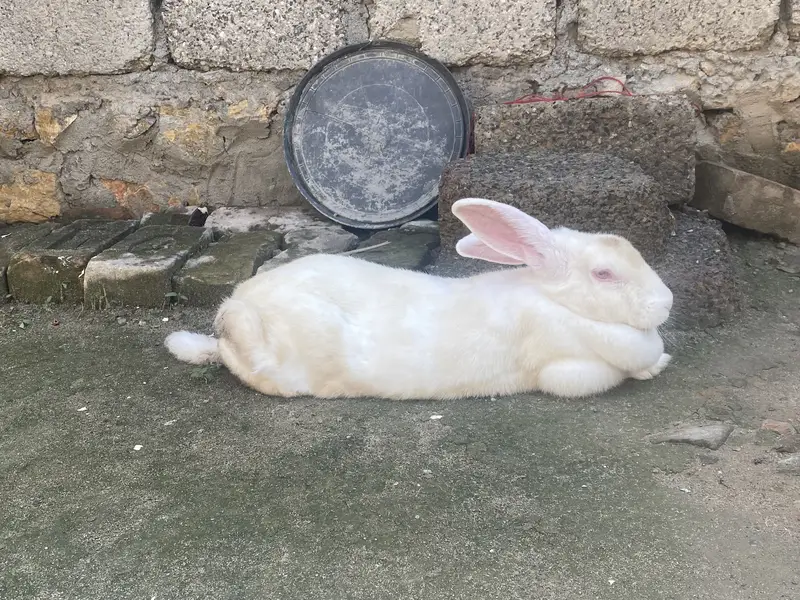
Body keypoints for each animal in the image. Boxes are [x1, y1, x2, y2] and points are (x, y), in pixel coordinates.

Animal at [165, 198, 673, 400]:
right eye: (605, 274)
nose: (665, 303)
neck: (556, 302)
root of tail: (236, 311)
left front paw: (660, 362)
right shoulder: (565, 369)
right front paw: (653, 365)